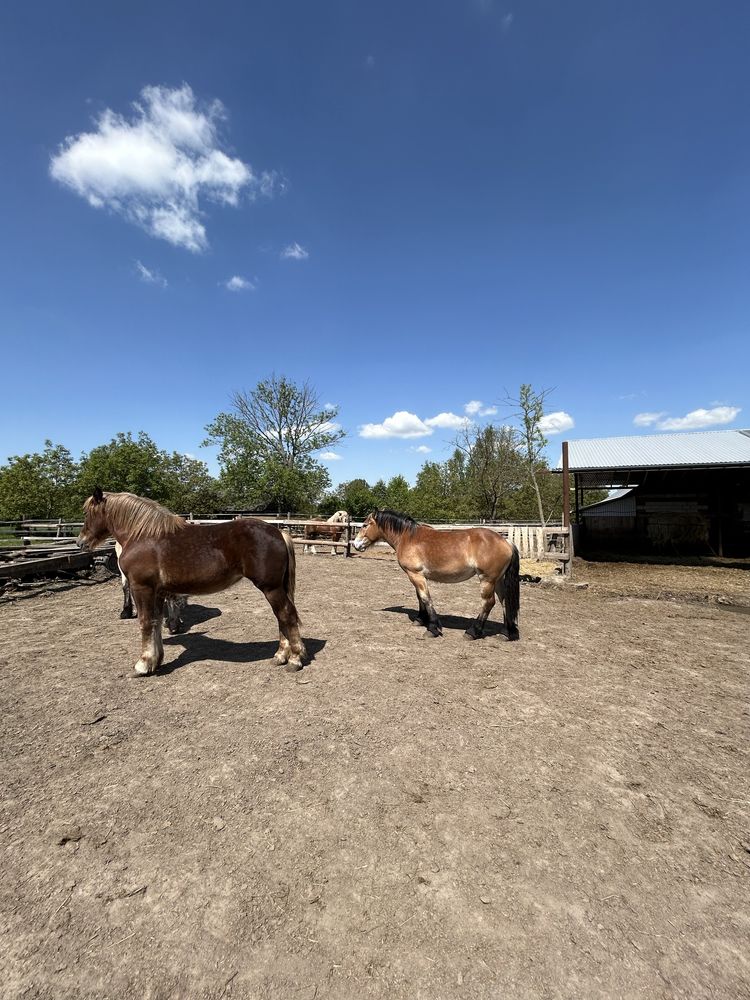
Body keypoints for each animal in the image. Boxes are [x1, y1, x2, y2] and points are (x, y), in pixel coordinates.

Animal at [78, 488, 306, 676]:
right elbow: (156, 622)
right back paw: (280, 656)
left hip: (271, 588)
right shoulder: (157, 592)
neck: (143, 536)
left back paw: (294, 659)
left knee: (286, 615)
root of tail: (279, 532)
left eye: (88, 513)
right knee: (281, 617)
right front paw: (156, 661)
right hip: (275, 588)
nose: (81, 542)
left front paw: (142, 665)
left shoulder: (141, 588)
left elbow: (145, 622)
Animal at [354, 508, 520, 640]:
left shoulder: (415, 574)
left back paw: (473, 632)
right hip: (498, 580)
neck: (408, 537)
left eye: (365, 525)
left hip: (487, 580)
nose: (355, 544)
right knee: (505, 601)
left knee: (488, 603)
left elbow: (426, 598)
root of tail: (506, 542)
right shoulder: (417, 576)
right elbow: (420, 597)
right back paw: (507, 633)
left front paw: (433, 628)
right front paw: (421, 619)